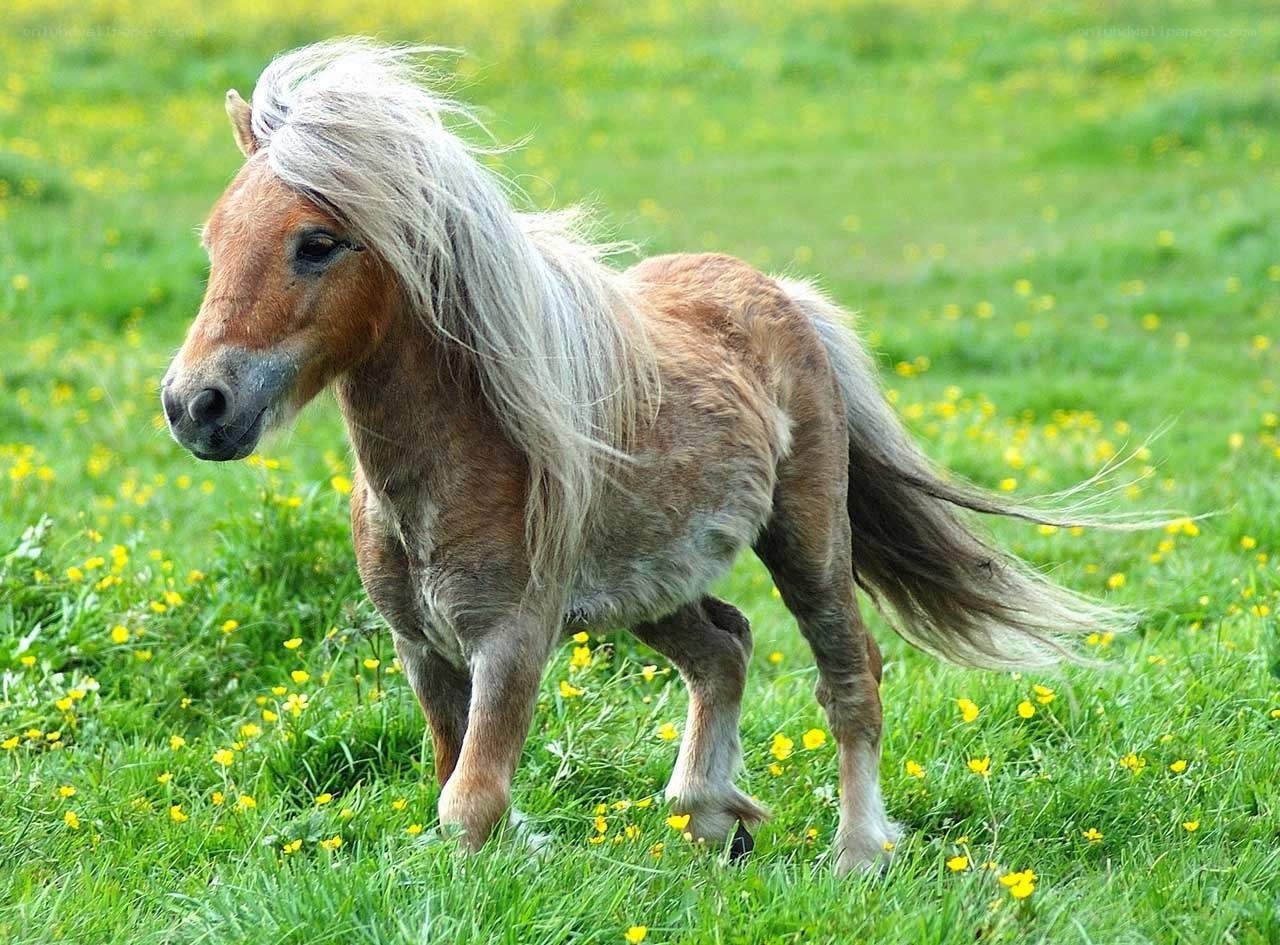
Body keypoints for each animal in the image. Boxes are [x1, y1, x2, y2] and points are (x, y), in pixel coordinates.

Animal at [161, 40, 1128, 874]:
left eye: (318, 243)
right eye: (211, 239)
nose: (195, 405)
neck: (452, 467)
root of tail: (783, 295)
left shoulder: (511, 639)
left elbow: (469, 802)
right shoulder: (422, 648)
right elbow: (452, 781)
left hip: (807, 542)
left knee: (850, 674)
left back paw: (855, 854)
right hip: (649, 586)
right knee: (726, 647)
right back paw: (713, 817)